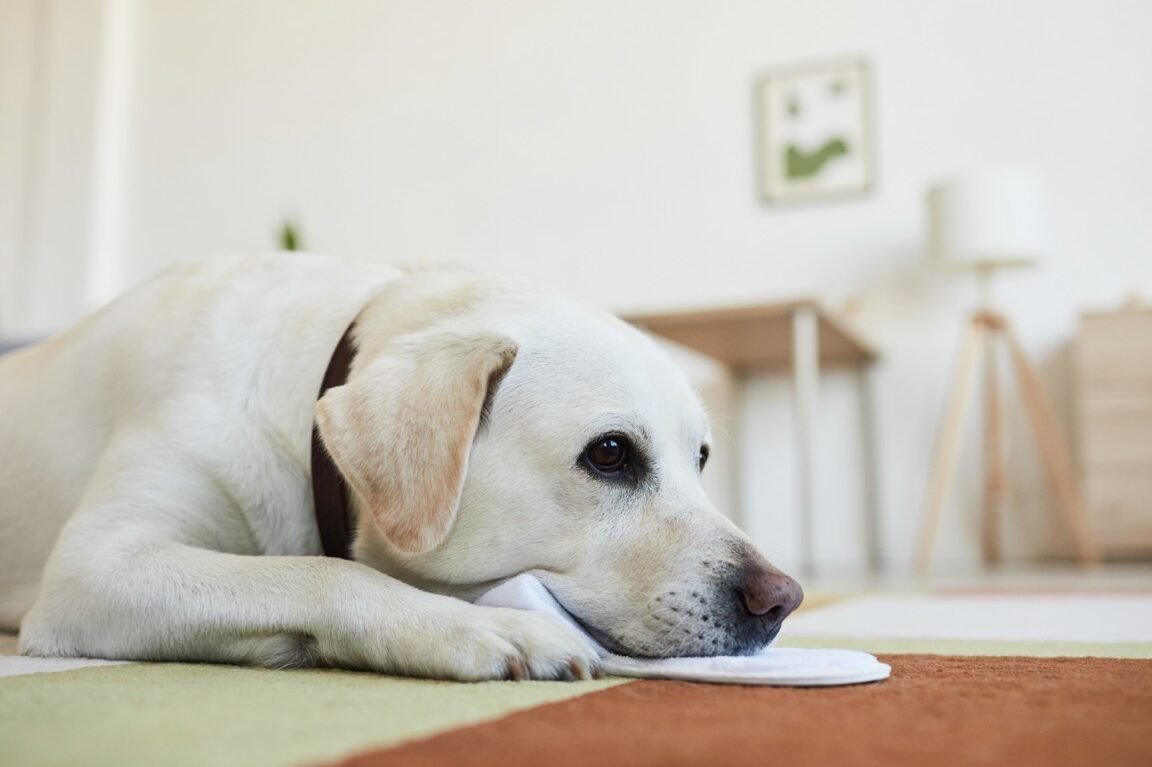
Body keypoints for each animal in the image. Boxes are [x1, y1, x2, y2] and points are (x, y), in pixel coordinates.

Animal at [0, 253, 801, 677]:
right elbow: (324, 572)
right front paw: (488, 628)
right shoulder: (94, 569)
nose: (783, 599)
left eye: (701, 458)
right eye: (610, 455)